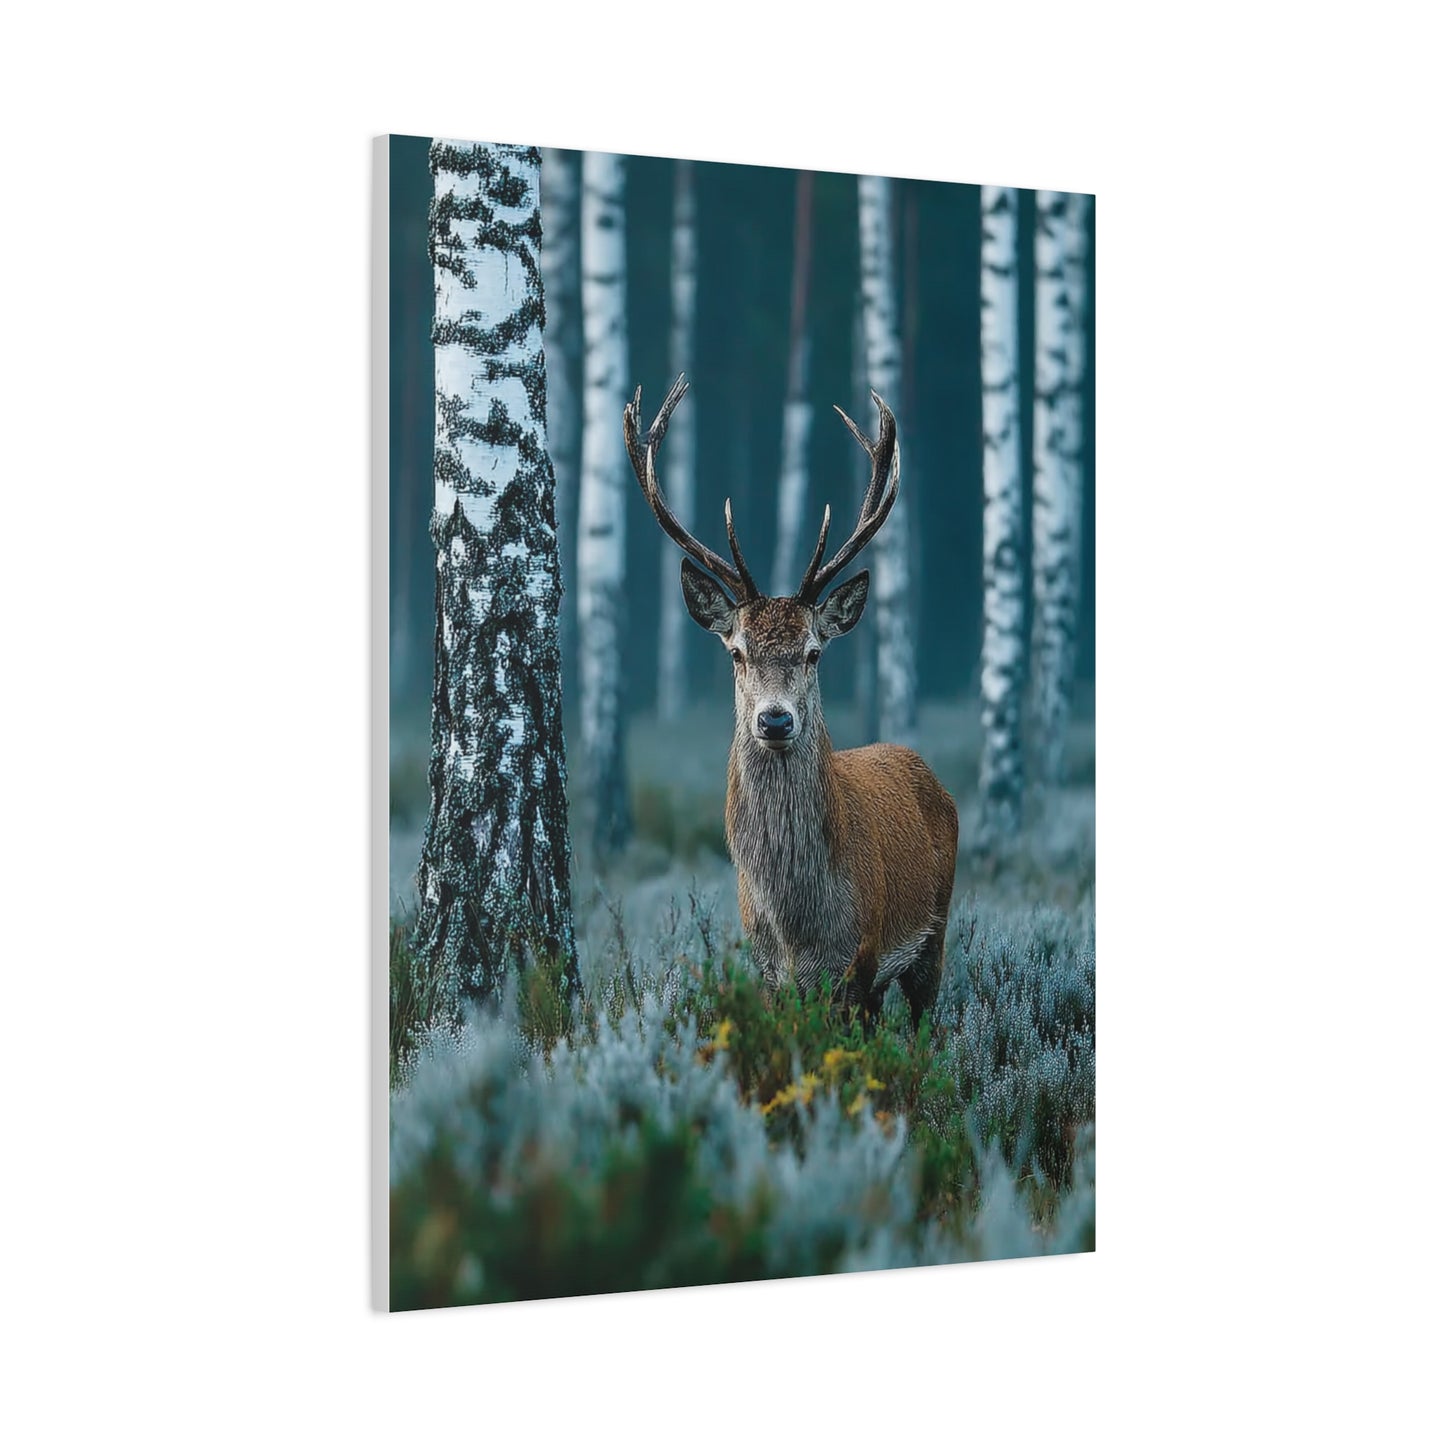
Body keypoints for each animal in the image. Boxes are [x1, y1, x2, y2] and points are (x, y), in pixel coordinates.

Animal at [625, 374, 958, 1027]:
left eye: (813, 652)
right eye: (736, 651)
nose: (775, 719)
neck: (800, 930)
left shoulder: (859, 961)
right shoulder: (769, 973)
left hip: (934, 932)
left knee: (925, 1026)